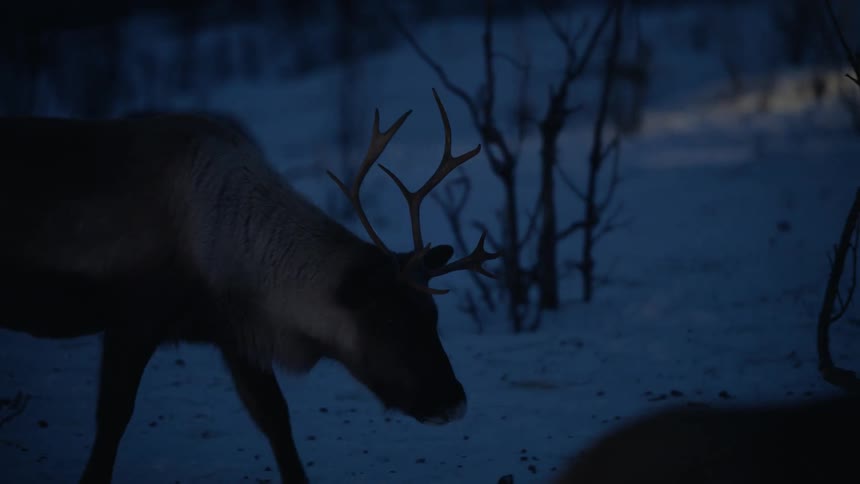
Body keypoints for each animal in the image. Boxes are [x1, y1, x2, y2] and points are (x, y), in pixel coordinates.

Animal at [0, 88, 497, 483]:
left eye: (433, 315)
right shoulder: (134, 319)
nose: (454, 401)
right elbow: (112, 420)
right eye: (390, 321)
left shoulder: (236, 335)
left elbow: (276, 419)